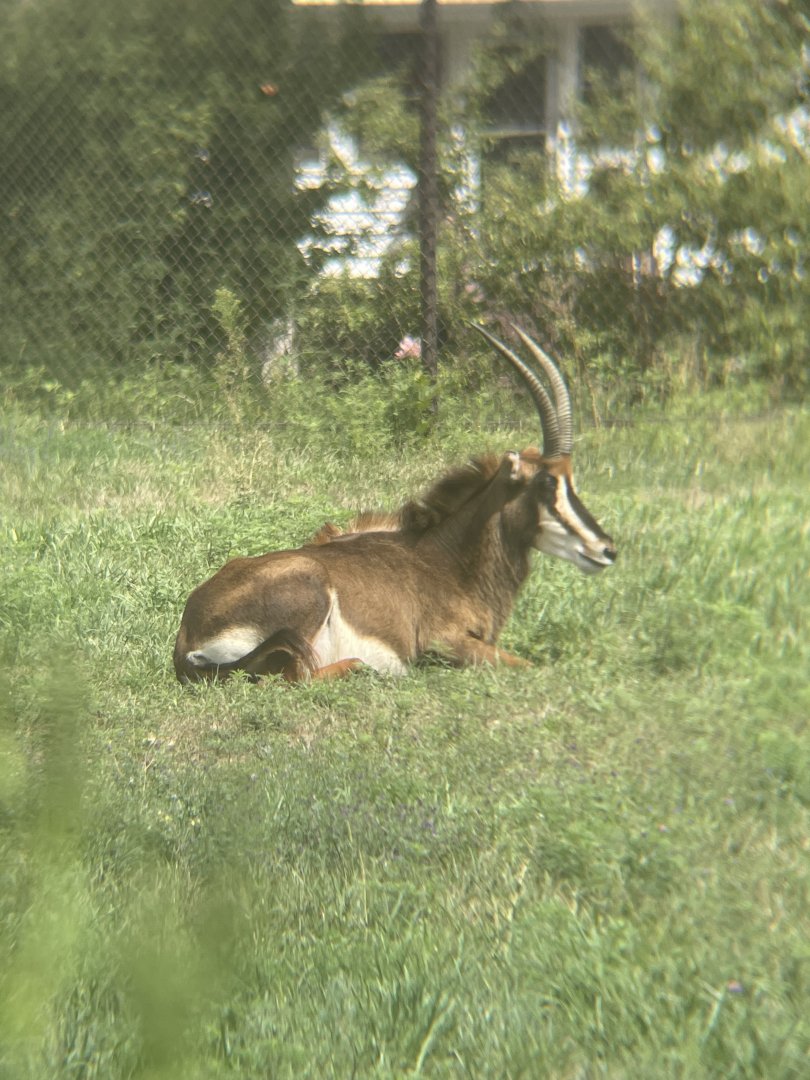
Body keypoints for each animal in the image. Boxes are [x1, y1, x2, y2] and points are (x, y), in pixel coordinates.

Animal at [173, 324, 616, 684]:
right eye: (547, 482)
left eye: (572, 480)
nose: (606, 549)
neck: (447, 559)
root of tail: (185, 637)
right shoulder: (442, 642)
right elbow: (533, 666)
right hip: (308, 598)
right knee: (296, 676)